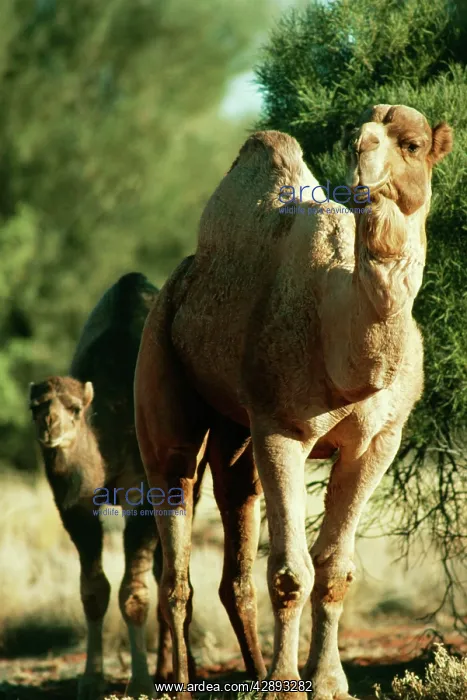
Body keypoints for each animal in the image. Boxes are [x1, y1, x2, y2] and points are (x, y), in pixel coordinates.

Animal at [29, 272, 205, 700]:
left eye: (75, 409)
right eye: (36, 407)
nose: (50, 427)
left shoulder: (145, 495)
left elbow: (133, 593)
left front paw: (140, 682)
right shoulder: (75, 507)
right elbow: (94, 590)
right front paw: (90, 680)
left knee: (170, 568)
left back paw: (177, 670)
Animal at [134, 105, 452, 700]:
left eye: (413, 144)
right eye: (358, 134)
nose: (363, 150)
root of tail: (182, 278)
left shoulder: (380, 441)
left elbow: (336, 568)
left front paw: (328, 680)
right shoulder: (281, 429)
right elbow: (290, 571)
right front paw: (288, 681)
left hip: (236, 435)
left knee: (235, 534)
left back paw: (253, 673)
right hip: (160, 371)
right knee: (176, 552)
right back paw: (184, 684)